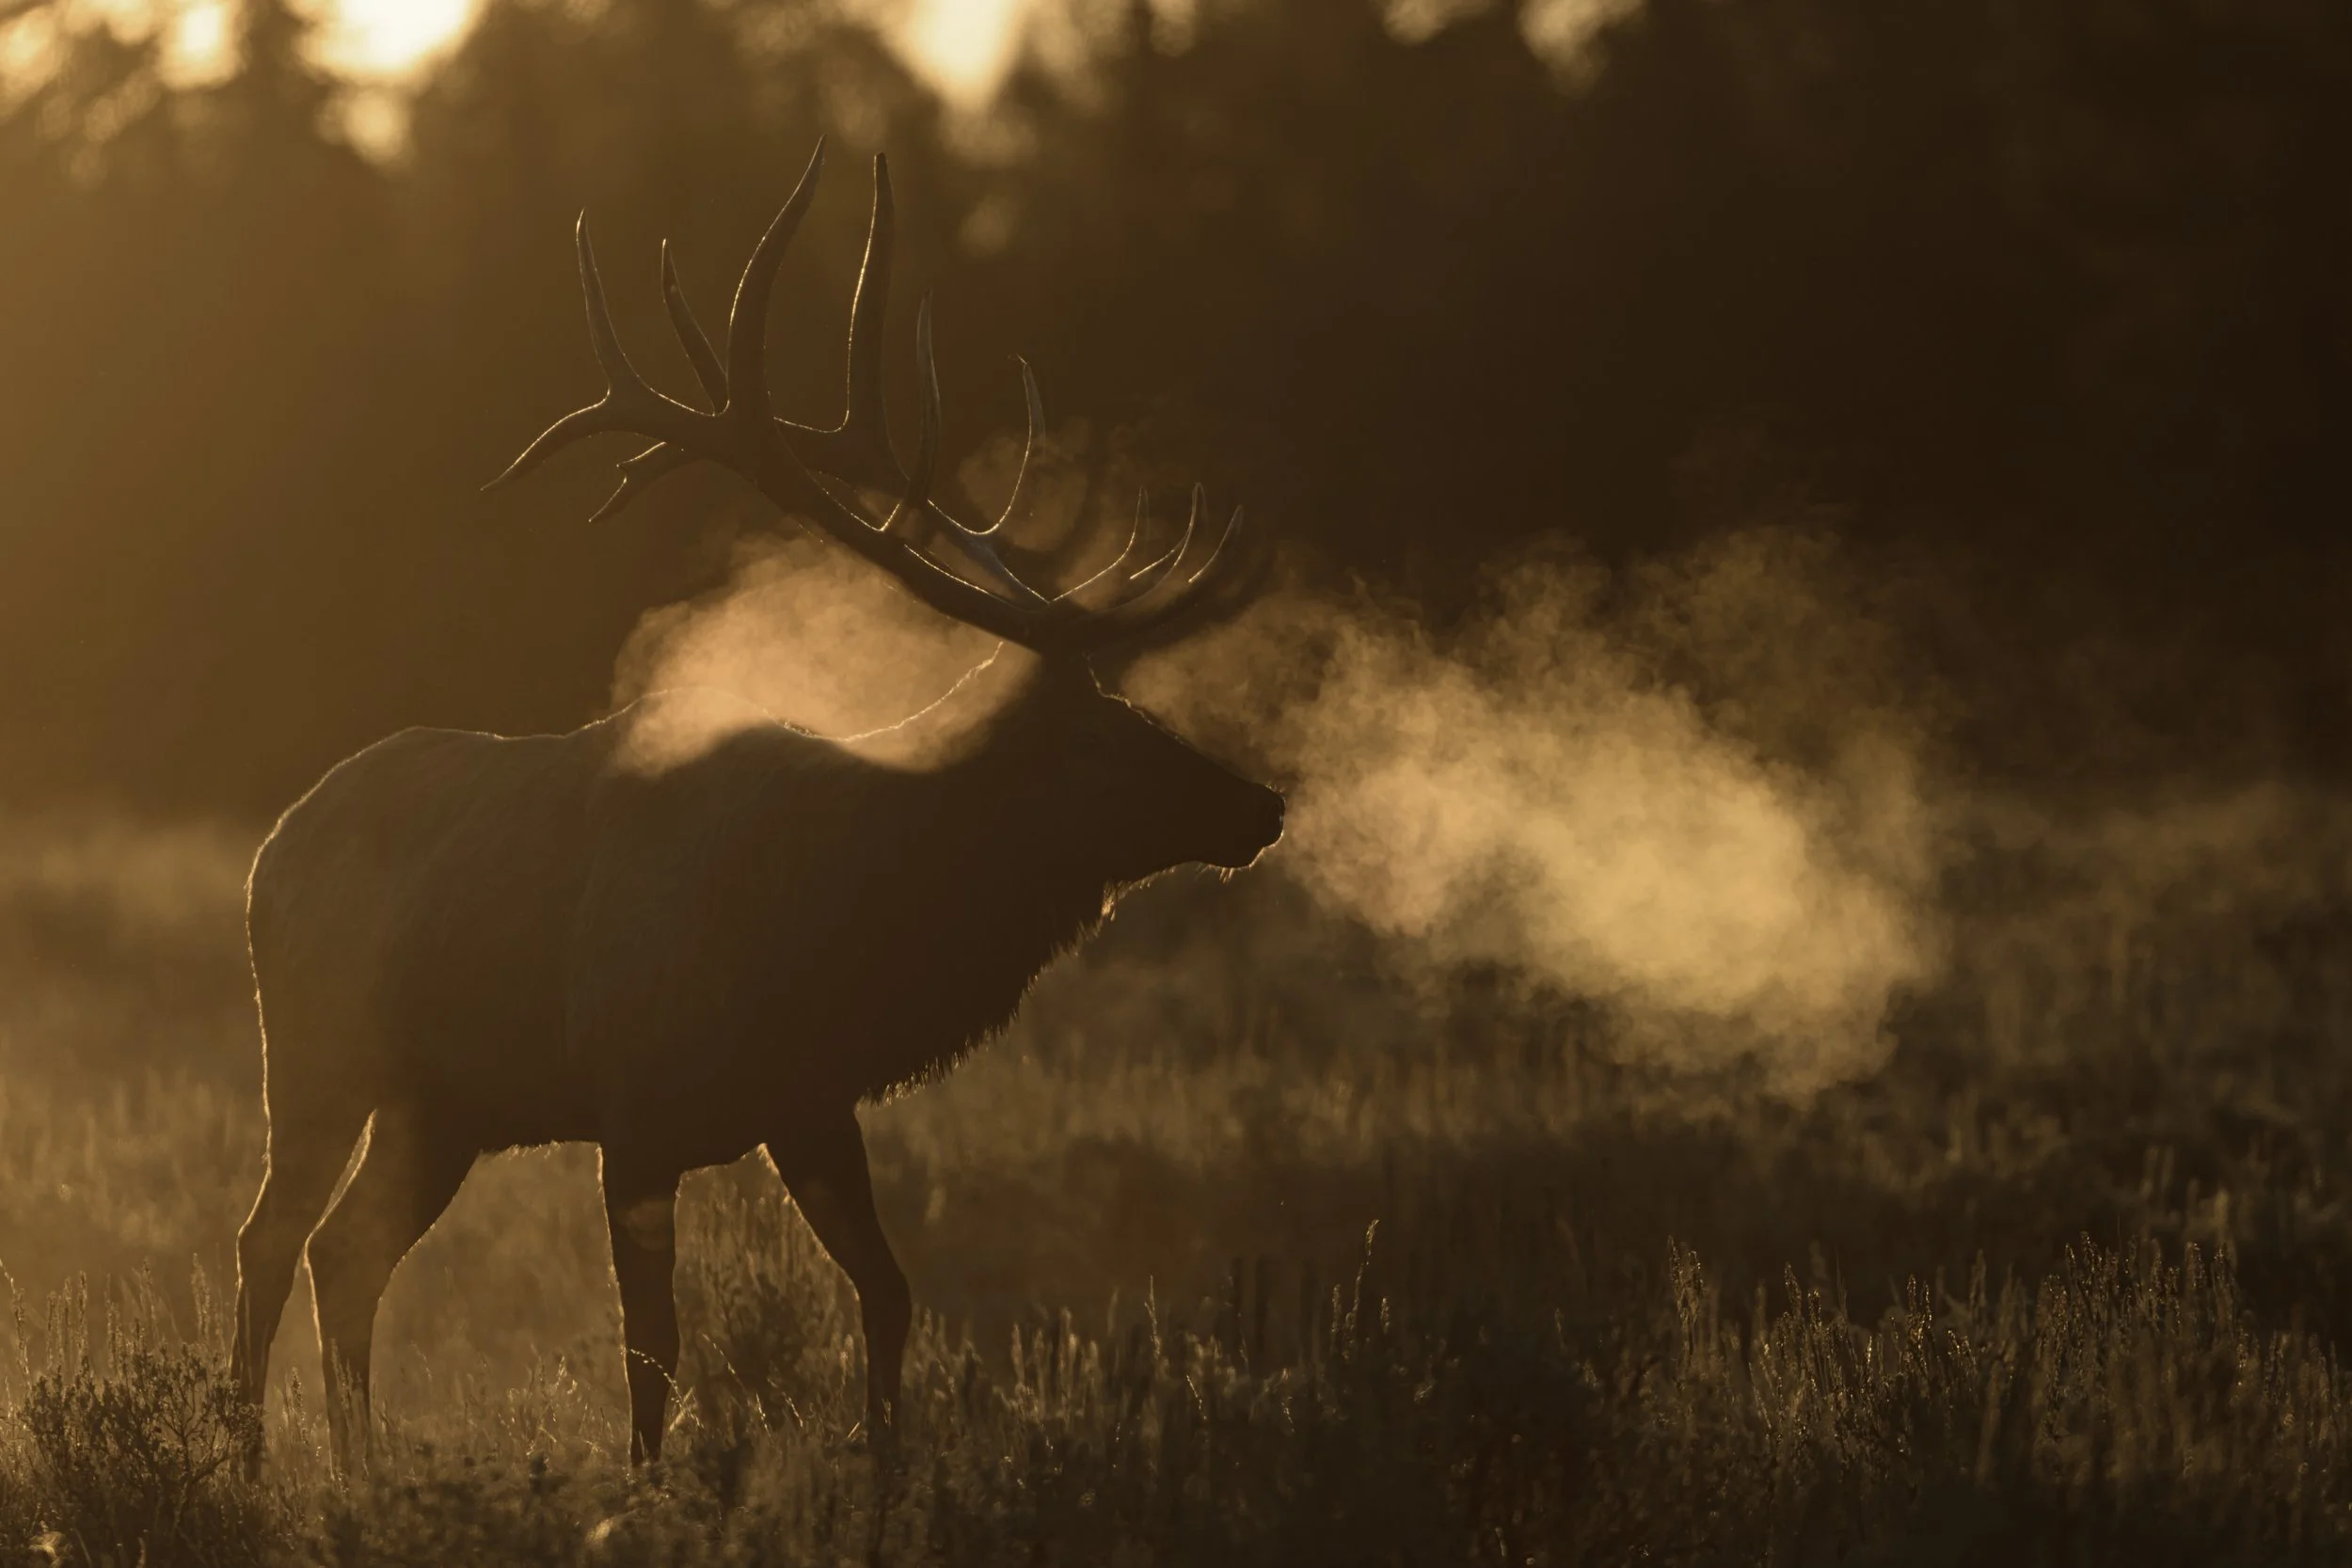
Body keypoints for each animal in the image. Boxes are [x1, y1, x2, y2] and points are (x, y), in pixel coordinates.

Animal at [227, 141, 1284, 1468]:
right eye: (1097, 739)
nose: (1263, 804)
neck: (824, 928)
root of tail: (268, 851)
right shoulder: (635, 1109)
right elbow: (653, 1344)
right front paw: (644, 1485)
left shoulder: (810, 1101)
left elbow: (888, 1293)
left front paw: (887, 1470)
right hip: (316, 1051)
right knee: (272, 1236)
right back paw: (245, 1452)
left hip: (443, 1105)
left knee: (345, 1248)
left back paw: (360, 1465)